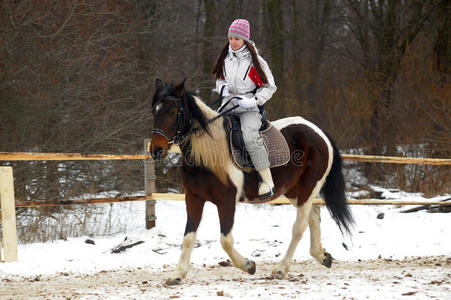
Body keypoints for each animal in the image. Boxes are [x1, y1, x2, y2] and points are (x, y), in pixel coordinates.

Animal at [150, 78, 354, 284]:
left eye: (172, 111)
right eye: (154, 111)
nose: (155, 150)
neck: (206, 155)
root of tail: (319, 132)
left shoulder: (227, 201)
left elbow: (225, 241)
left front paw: (248, 265)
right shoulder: (194, 198)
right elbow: (188, 237)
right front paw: (178, 274)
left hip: (308, 188)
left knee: (299, 227)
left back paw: (281, 269)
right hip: (294, 191)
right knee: (314, 215)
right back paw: (322, 256)